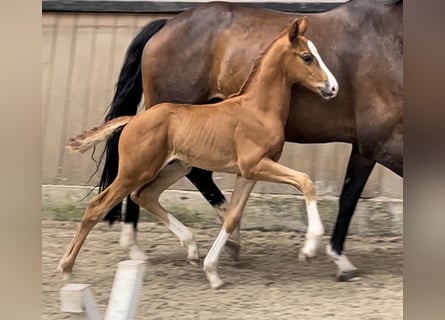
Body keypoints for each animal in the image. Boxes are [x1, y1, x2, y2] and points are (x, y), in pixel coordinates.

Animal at [59, 16, 336, 288]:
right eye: (307, 57)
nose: (332, 87)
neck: (257, 109)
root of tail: (133, 119)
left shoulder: (247, 173)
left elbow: (232, 216)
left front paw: (212, 272)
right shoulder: (255, 165)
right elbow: (305, 181)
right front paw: (309, 249)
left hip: (176, 166)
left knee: (144, 195)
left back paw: (191, 248)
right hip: (135, 171)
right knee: (97, 206)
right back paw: (66, 269)